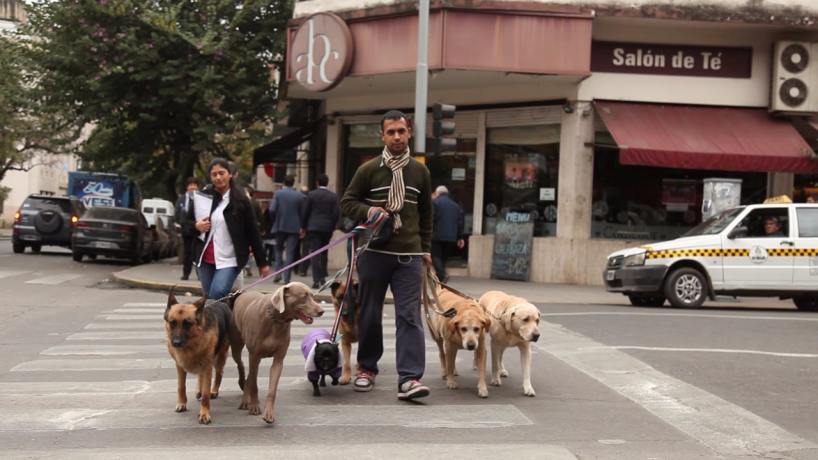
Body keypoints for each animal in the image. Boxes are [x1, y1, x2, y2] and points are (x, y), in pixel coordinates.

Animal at [164, 294, 231, 424]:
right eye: (172, 323)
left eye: (187, 324)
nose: (176, 343)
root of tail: (222, 302)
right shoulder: (179, 366)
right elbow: (181, 387)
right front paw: (182, 404)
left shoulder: (207, 367)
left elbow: (205, 395)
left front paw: (204, 414)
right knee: (200, 376)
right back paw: (199, 390)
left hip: (220, 357)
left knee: (219, 373)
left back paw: (214, 391)